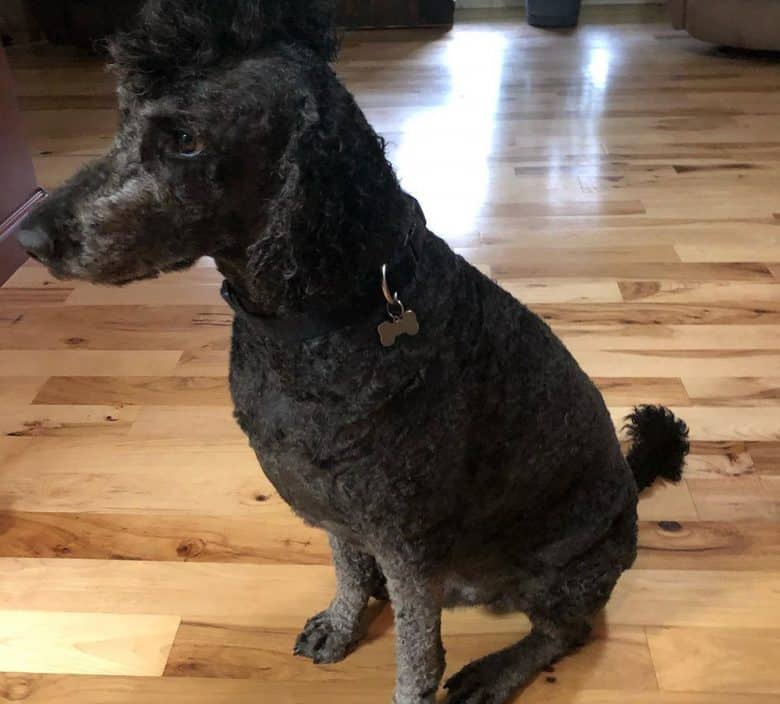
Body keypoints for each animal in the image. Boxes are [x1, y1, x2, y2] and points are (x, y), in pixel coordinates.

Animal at [18, 2, 688, 700]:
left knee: (565, 632)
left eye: (184, 139)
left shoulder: (407, 543)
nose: (27, 237)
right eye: (122, 119)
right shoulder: (334, 509)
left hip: (567, 568)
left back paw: (498, 670)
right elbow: (347, 570)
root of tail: (631, 485)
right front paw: (343, 623)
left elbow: (418, 658)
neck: (314, 325)